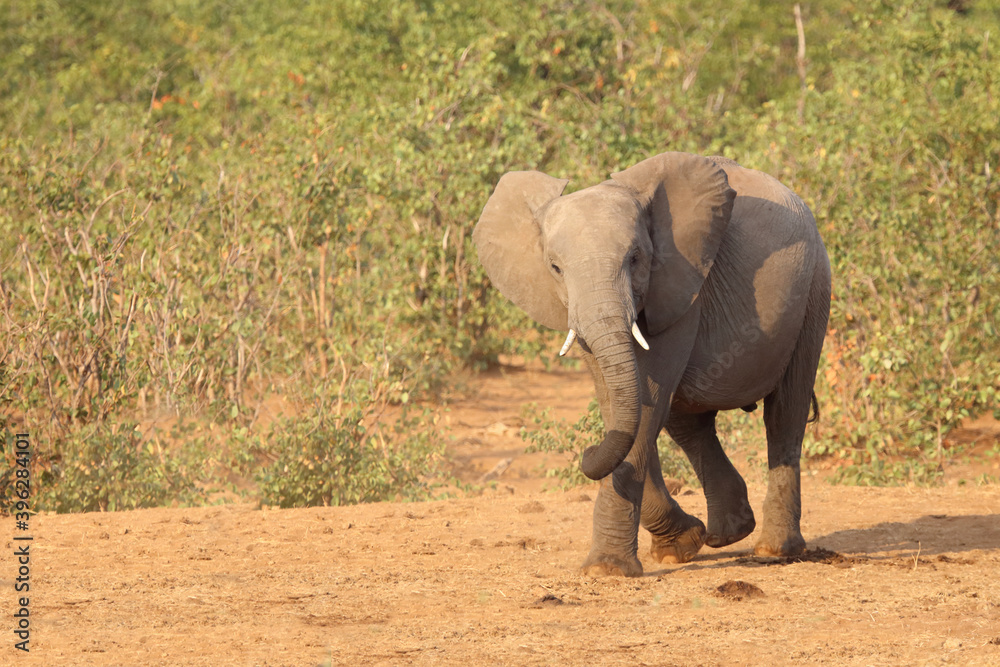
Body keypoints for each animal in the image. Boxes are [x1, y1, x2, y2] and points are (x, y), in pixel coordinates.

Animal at [473, 152, 831, 576]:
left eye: (635, 259)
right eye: (555, 268)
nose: (587, 451)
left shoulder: (682, 287)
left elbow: (646, 403)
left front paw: (607, 571)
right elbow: (621, 405)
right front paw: (680, 546)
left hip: (814, 288)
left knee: (784, 414)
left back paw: (774, 550)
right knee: (687, 421)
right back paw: (728, 534)